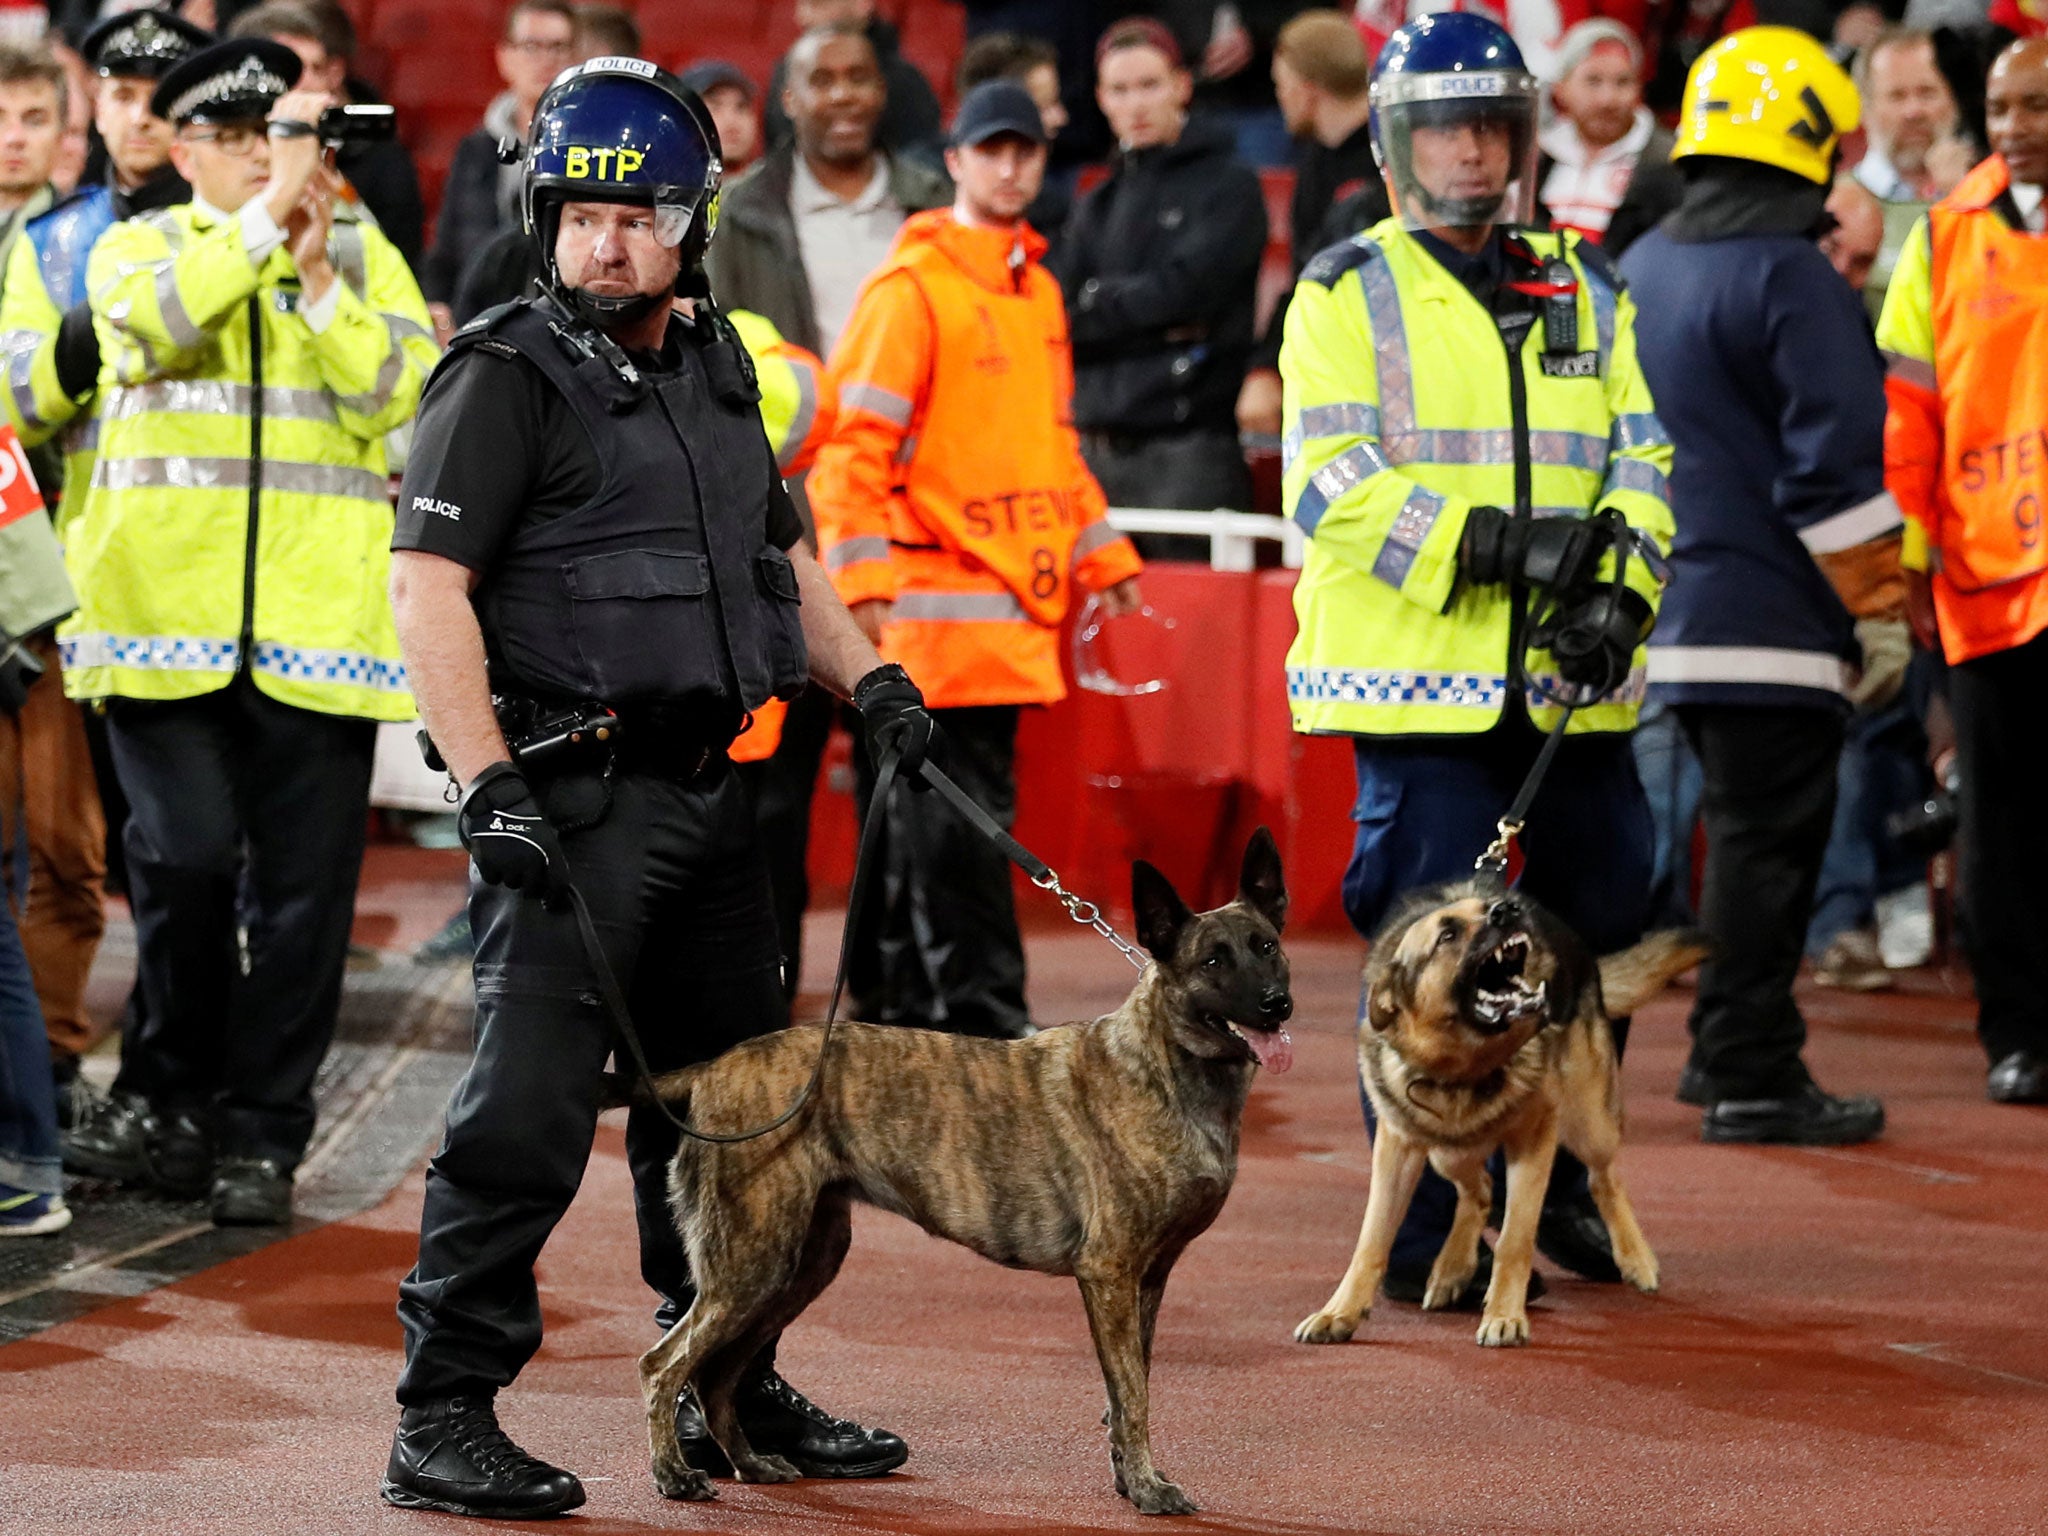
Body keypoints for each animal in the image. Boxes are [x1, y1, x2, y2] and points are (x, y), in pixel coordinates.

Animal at [630, 831, 1286, 1515]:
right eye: (1212, 961)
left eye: (1266, 946)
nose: (1277, 1004)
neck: (1165, 1067)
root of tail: (714, 1068)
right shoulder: (1109, 1272)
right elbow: (1132, 1395)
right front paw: (1150, 1486)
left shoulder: (1150, 1278)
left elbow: (1131, 1385)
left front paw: (1130, 1480)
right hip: (750, 1263)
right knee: (665, 1364)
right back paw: (674, 1475)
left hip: (799, 1261)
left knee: (717, 1375)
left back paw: (753, 1463)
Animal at [1294, 884, 1712, 1351]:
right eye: (1447, 935)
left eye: (1486, 911)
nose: (1509, 909)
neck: (1466, 1066)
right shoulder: (1397, 1149)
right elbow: (1371, 1239)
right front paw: (1340, 1312)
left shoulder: (1535, 1139)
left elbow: (1515, 1238)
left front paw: (1504, 1315)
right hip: (1447, 1151)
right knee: (1479, 1189)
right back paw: (1451, 1268)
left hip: (1589, 1123)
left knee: (1604, 1179)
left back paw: (1634, 1257)